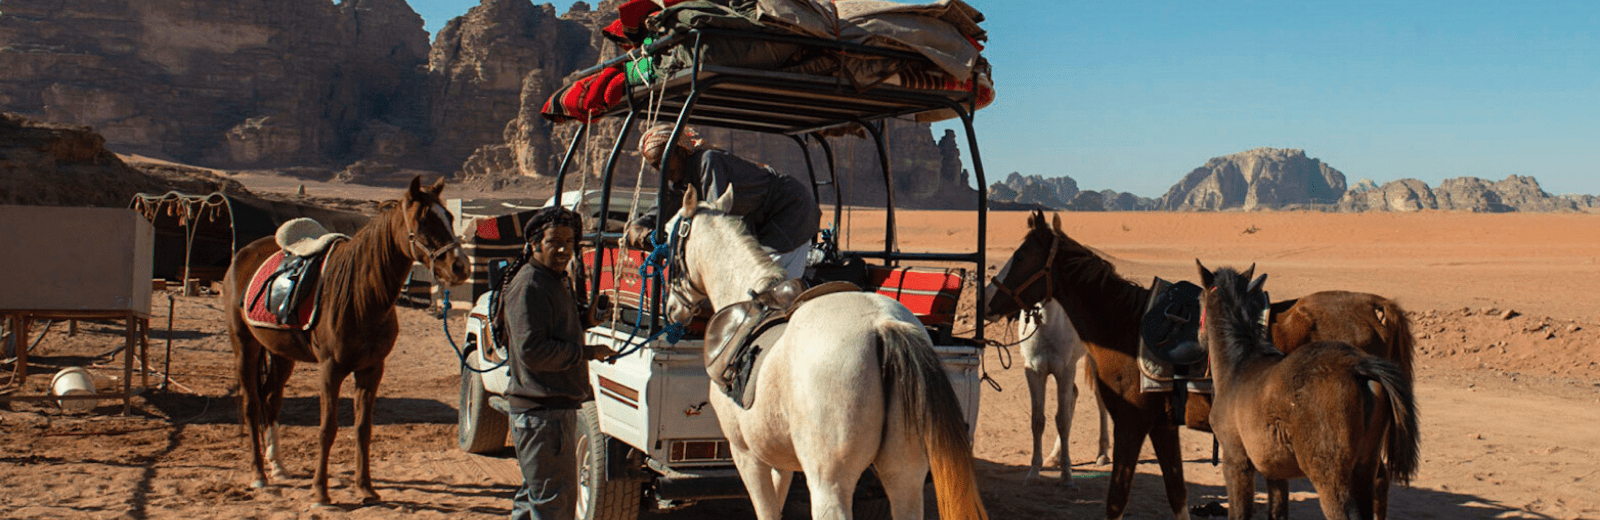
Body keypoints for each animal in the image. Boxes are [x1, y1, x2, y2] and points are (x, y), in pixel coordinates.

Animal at [222, 176, 467, 505]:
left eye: (450, 218)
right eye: (423, 220)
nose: (460, 266)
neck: (363, 297)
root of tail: (244, 254)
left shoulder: (372, 370)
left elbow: (363, 428)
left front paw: (365, 487)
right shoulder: (331, 369)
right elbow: (328, 428)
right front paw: (320, 491)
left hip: (282, 353)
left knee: (270, 398)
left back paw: (278, 467)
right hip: (245, 346)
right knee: (251, 404)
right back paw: (259, 475)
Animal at [665, 187, 985, 518]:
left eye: (667, 231)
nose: (673, 308)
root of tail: (884, 325)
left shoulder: (747, 455)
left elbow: (766, 511)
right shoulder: (779, 459)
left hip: (828, 481)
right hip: (905, 473)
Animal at [1017, 297, 1107, 483]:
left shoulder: (1065, 371)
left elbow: (1063, 420)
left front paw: (1066, 475)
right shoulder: (1035, 372)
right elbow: (1038, 420)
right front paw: (1034, 472)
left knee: (1100, 399)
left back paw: (1103, 454)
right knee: (1074, 394)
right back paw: (1055, 457)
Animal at [1196, 264, 1420, 518]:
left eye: (1199, 299)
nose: (1200, 337)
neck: (1238, 363)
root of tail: (1356, 365)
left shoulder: (1236, 461)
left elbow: (1240, 512)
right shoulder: (1276, 471)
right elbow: (1277, 511)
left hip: (1329, 475)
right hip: (1364, 467)